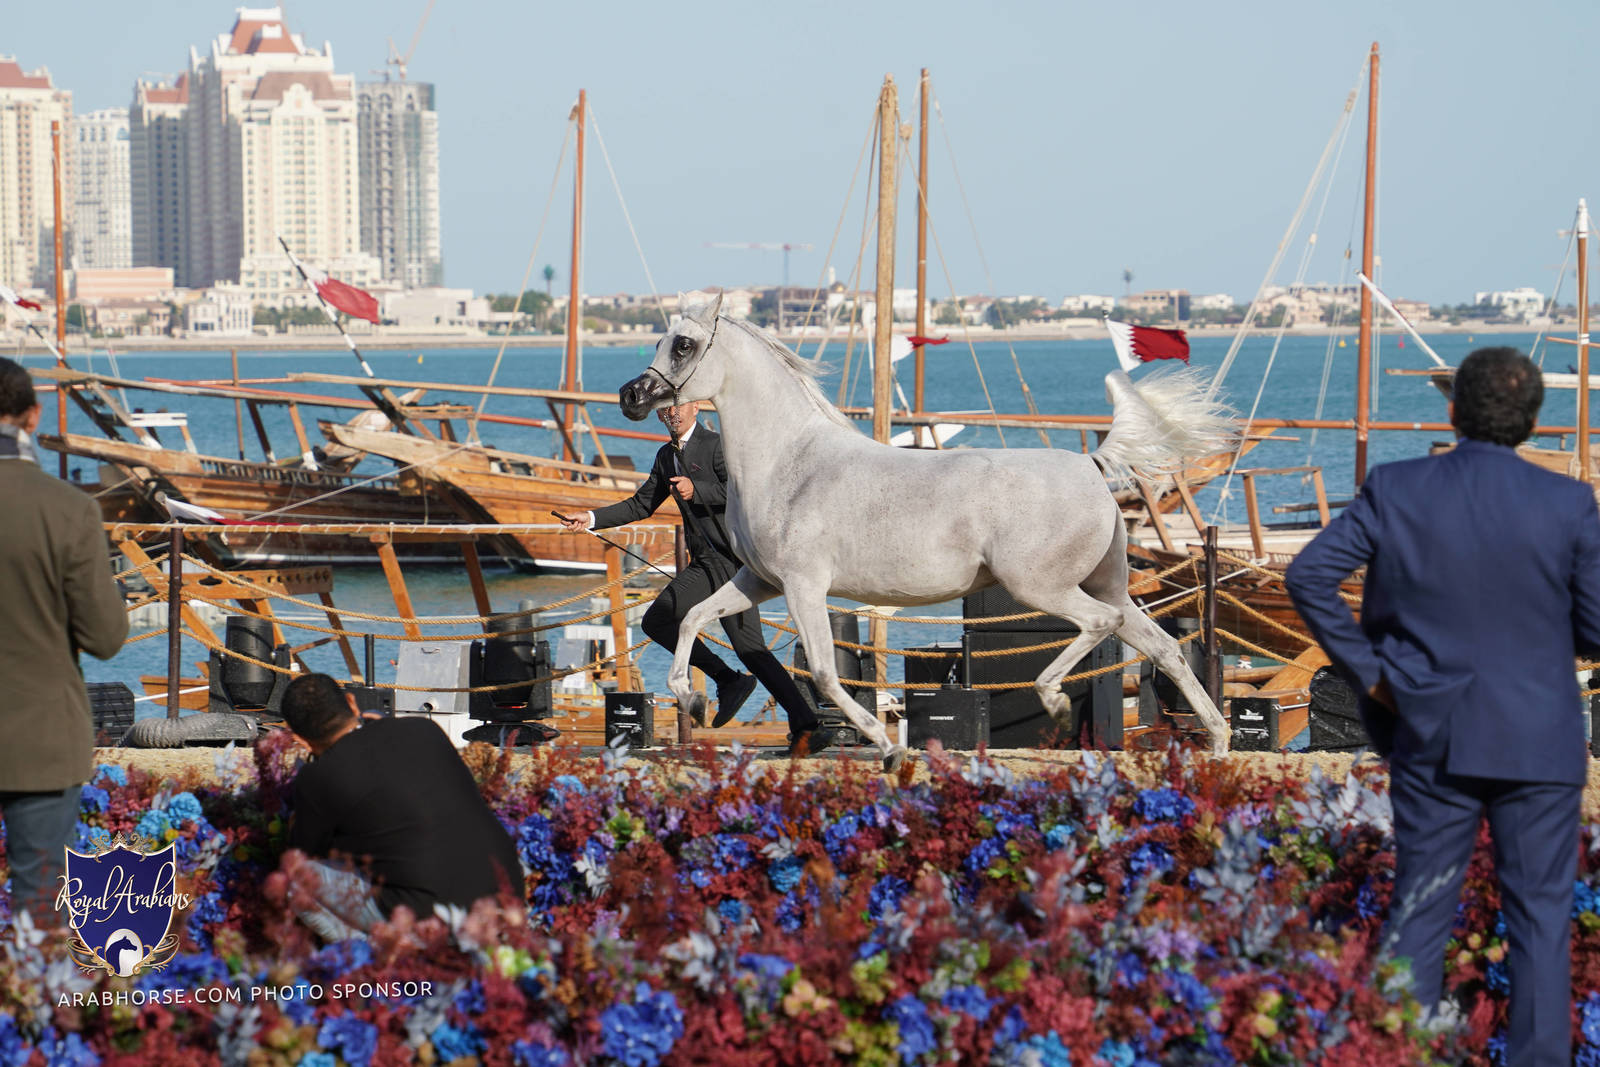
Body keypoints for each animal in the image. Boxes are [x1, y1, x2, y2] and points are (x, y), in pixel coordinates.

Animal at [618, 292, 1237, 773]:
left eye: (682, 345)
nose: (631, 396)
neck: (791, 462)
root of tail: (1092, 464)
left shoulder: (803, 587)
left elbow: (824, 673)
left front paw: (890, 749)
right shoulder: (758, 580)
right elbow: (694, 617)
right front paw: (691, 701)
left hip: (1042, 587)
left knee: (1102, 626)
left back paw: (1057, 701)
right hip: (1107, 586)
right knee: (1163, 647)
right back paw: (1218, 741)